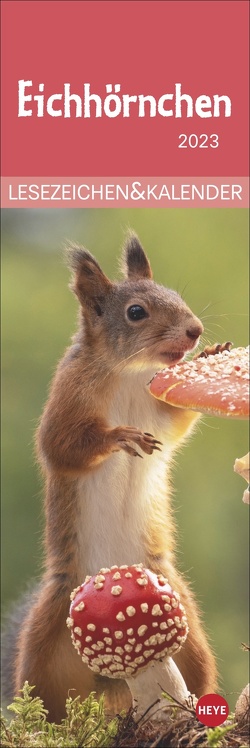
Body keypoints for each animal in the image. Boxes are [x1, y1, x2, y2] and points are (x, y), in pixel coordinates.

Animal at [7, 235, 217, 724]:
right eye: (136, 312)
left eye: (174, 294)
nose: (195, 331)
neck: (129, 375)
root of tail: (109, 684)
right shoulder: (67, 398)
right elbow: (62, 446)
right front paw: (118, 436)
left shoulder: (161, 414)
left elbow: (178, 424)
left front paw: (209, 358)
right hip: (45, 644)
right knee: (43, 707)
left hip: (188, 631)